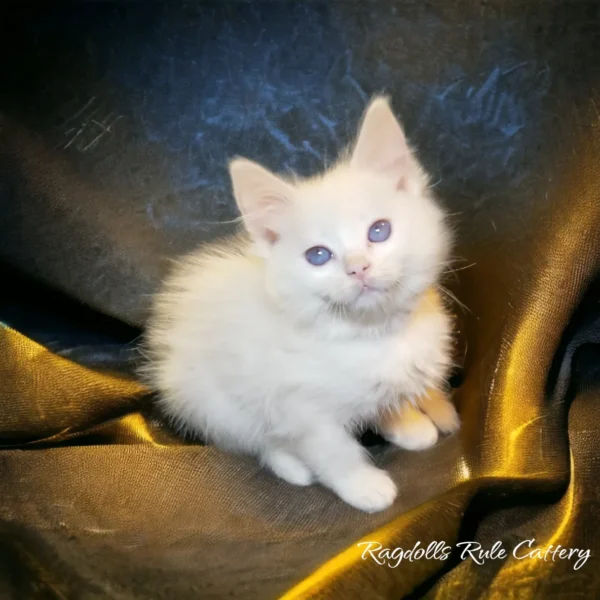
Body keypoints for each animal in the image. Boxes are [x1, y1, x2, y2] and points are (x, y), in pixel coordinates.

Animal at [143, 97, 462, 510]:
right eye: (318, 256)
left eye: (379, 231)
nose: (358, 267)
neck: (371, 334)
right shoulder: (300, 408)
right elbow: (333, 450)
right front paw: (363, 486)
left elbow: (382, 398)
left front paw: (406, 425)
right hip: (213, 402)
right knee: (253, 439)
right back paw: (291, 466)